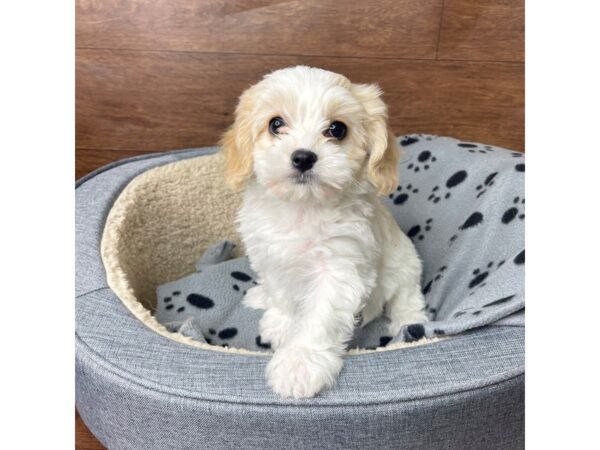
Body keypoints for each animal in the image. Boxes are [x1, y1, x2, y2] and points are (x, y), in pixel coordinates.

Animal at [221, 66, 426, 398]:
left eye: (337, 129)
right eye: (275, 124)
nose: (303, 157)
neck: (302, 208)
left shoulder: (339, 268)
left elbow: (320, 318)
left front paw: (299, 364)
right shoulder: (271, 254)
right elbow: (282, 294)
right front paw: (281, 323)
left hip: (406, 267)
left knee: (407, 299)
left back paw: (410, 325)